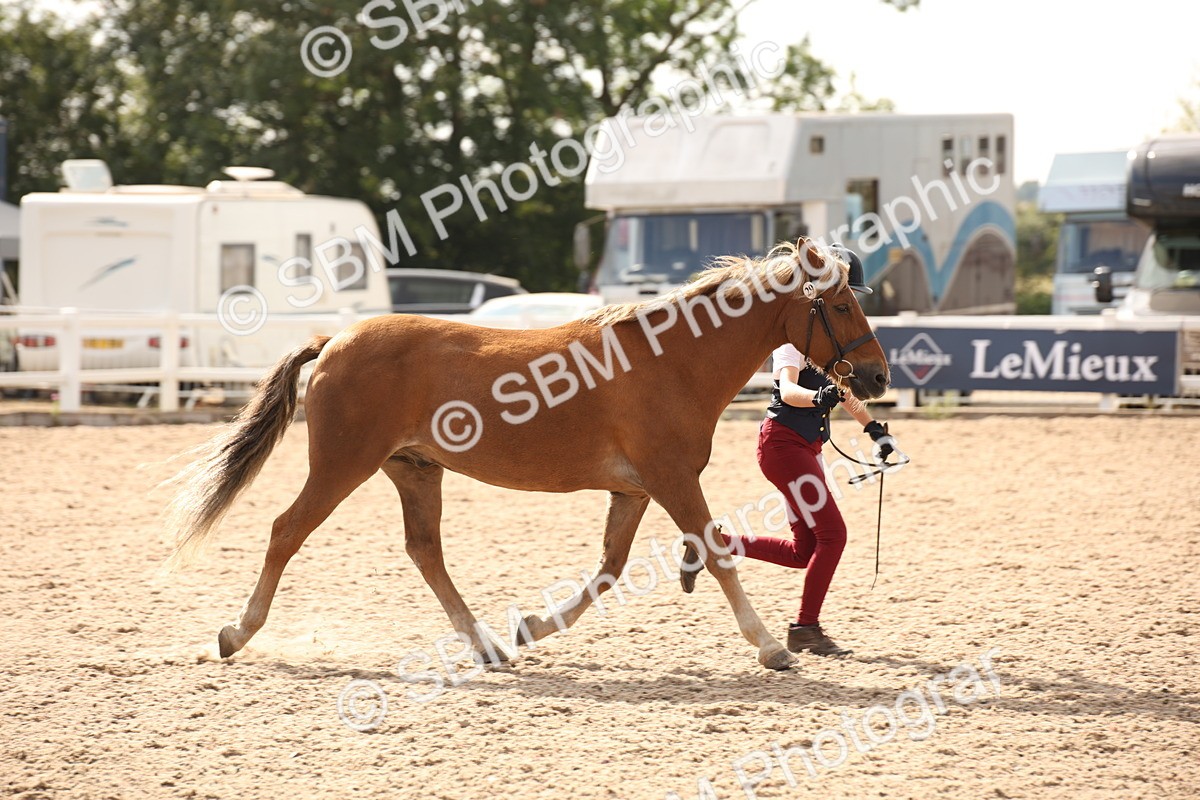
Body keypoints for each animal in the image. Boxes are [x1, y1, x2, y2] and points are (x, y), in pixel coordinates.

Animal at [165, 239, 889, 671]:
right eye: (841, 305)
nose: (878, 376)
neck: (671, 360)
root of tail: (336, 340)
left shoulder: (635, 489)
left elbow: (609, 571)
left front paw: (533, 626)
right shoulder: (671, 479)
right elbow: (713, 554)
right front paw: (769, 647)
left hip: (415, 471)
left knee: (425, 552)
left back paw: (487, 645)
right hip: (341, 466)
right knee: (286, 531)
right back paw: (235, 633)